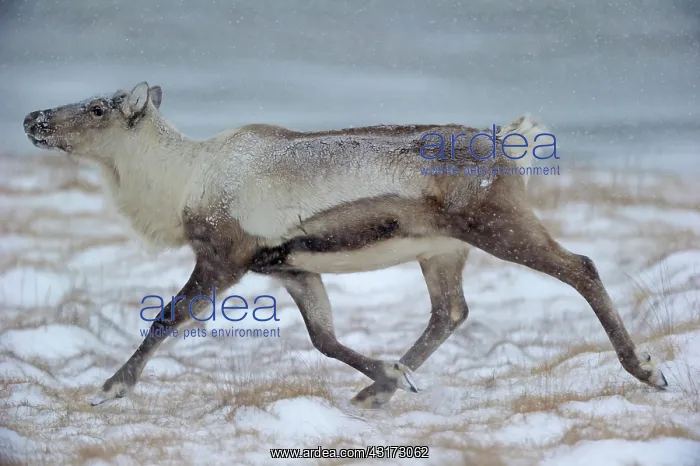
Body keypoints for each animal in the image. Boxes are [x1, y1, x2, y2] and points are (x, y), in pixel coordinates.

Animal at [22, 81, 668, 409]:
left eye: (98, 107)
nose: (33, 118)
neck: (180, 180)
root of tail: (507, 141)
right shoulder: (289, 270)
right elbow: (323, 339)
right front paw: (388, 373)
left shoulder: (223, 258)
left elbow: (166, 319)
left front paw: (111, 387)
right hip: (440, 250)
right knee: (450, 312)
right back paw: (377, 390)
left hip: (500, 227)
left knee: (581, 267)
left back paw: (647, 369)